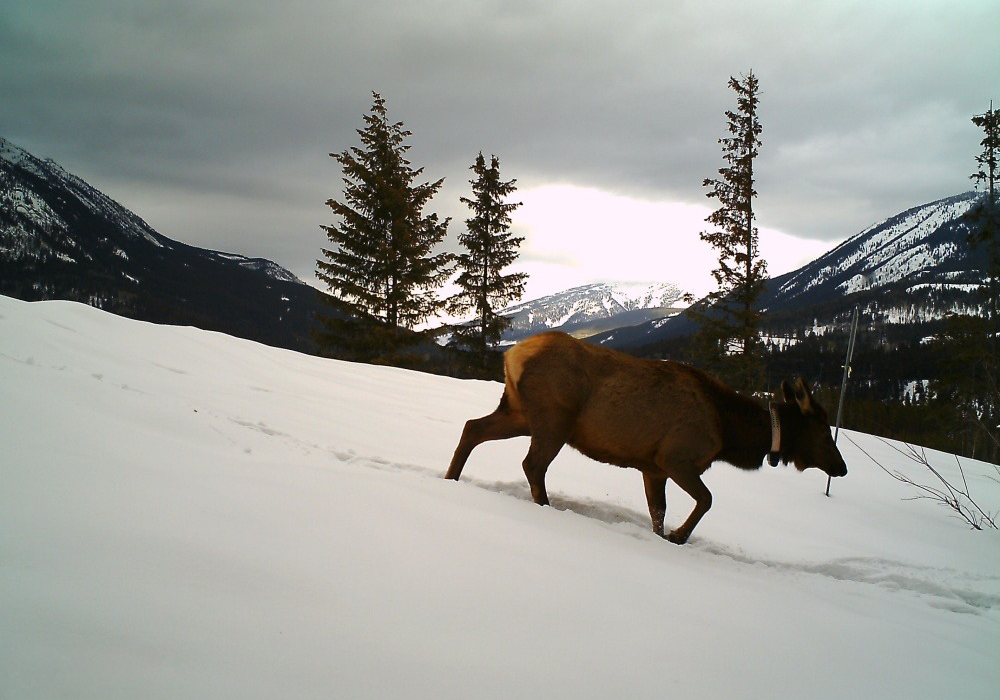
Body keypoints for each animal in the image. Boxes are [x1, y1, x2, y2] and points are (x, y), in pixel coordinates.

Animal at [445, 331, 847, 544]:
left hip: (520, 413)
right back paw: (545, 506)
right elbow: (707, 500)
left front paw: (662, 536)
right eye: (823, 431)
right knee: (532, 463)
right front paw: (678, 537)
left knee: (472, 427)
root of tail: (514, 353)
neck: (728, 432)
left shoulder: (652, 467)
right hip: (553, 418)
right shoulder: (677, 457)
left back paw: (450, 479)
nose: (842, 468)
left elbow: (658, 511)